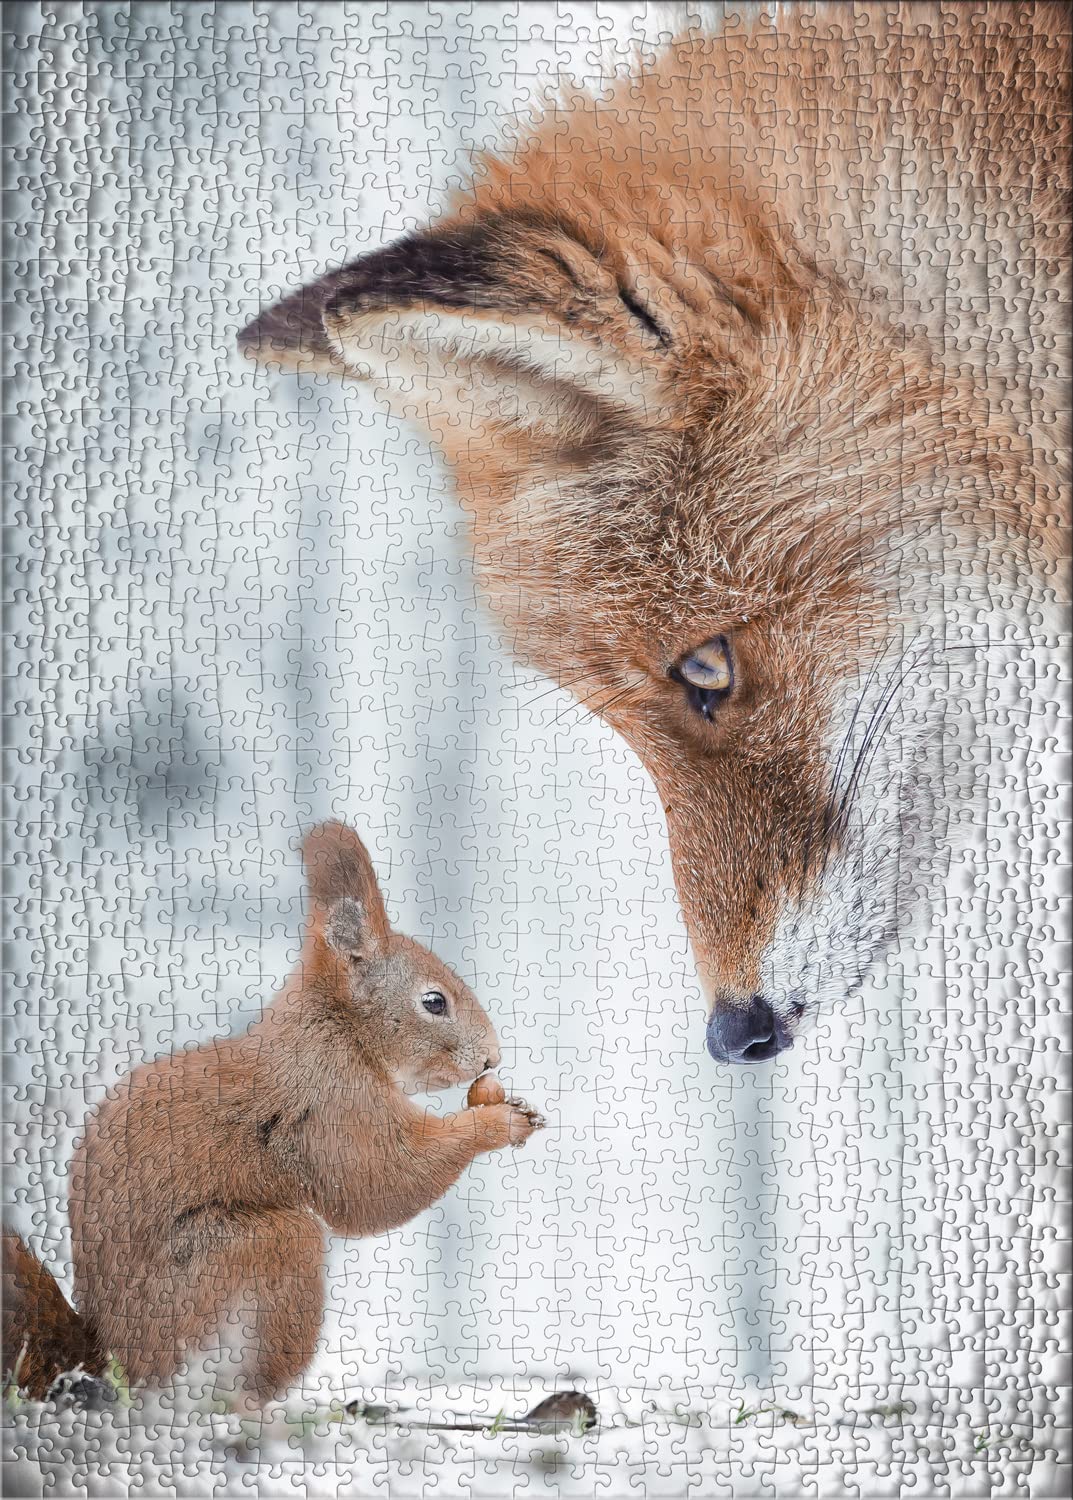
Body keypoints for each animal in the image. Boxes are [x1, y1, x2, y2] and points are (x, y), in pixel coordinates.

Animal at [3, 820, 543, 1403]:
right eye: (434, 1002)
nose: (491, 1057)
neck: (336, 1028)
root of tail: (111, 1356)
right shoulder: (331, 1102)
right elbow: (376, 1185)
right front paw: (495, 1123)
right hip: (253, 1255)